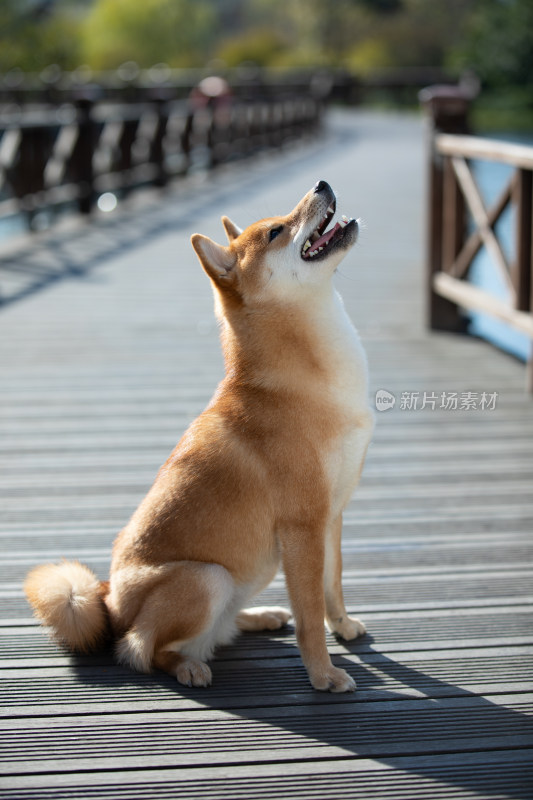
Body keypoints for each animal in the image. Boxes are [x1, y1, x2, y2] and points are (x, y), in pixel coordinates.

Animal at [26, 178, 374, 692]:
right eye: (276, 232)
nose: (322, 184)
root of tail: (109, 602)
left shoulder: (331, 516)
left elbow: (333, 588)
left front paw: (344, 625)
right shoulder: (303, 527)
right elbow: (310, 615)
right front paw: (324, 674)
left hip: (247, 574)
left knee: (216, 629)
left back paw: (258, 616)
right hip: (208, 578)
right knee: (145, 650)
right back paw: (189, 665)